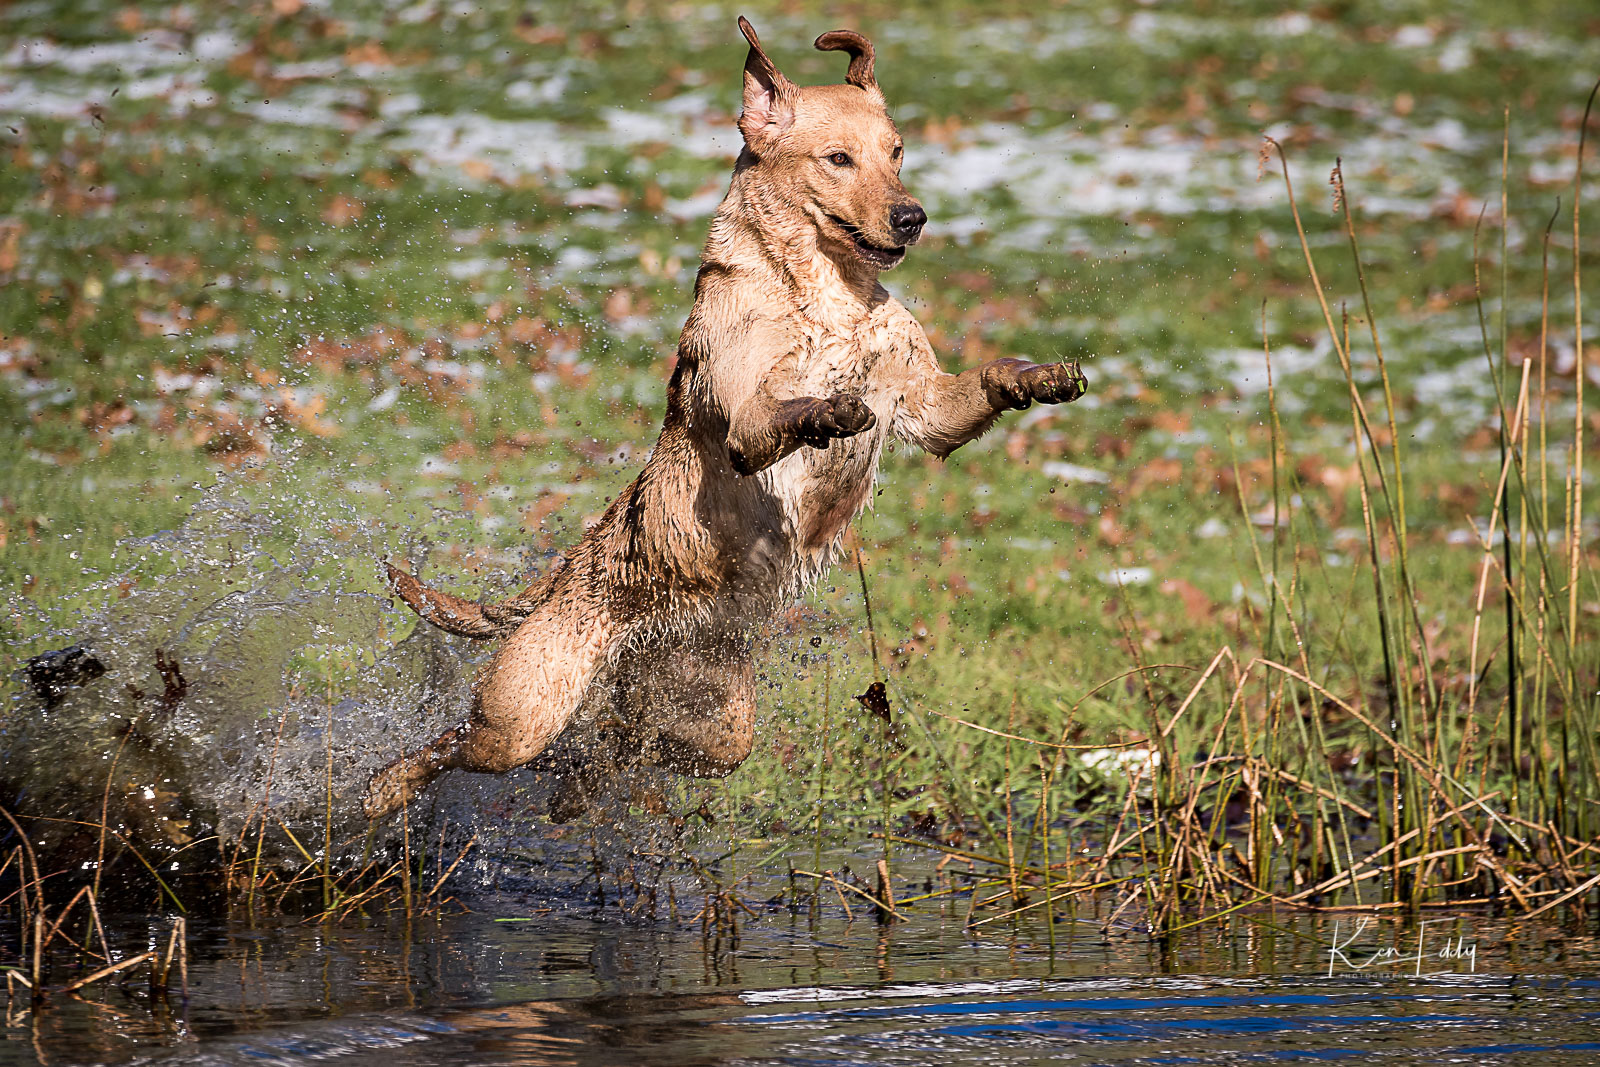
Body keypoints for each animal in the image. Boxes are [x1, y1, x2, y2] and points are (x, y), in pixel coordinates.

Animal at [364, 14, 1088, 819]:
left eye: (897, 151)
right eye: (838, 159)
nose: (913, 217)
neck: (824, 294)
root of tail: (570, 565)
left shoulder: (924, 406)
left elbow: (974, 387)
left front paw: (1037, 376)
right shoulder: (747, 423)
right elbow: (785, 413)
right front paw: (828, 410)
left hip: (714, 719)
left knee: (628, 740)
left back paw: (583, 783)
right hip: (526, 708)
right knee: (455, 743)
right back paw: (382, 789)